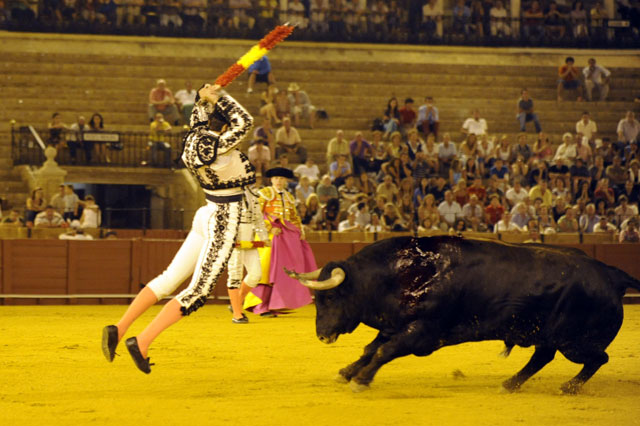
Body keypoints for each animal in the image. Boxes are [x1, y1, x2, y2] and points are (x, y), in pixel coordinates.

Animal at [286, 236, 640, 392]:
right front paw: (346, 372)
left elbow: (385, 351)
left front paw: (361, 379)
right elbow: (370, 349)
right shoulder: (395, 325)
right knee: (542, 357)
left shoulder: (422, 332)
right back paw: (510, 383)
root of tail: (612, 274)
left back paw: (569, 387)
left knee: (597, 358)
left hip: (574, 341)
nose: (322, 335)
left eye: (331, 297)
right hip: (548, 335)